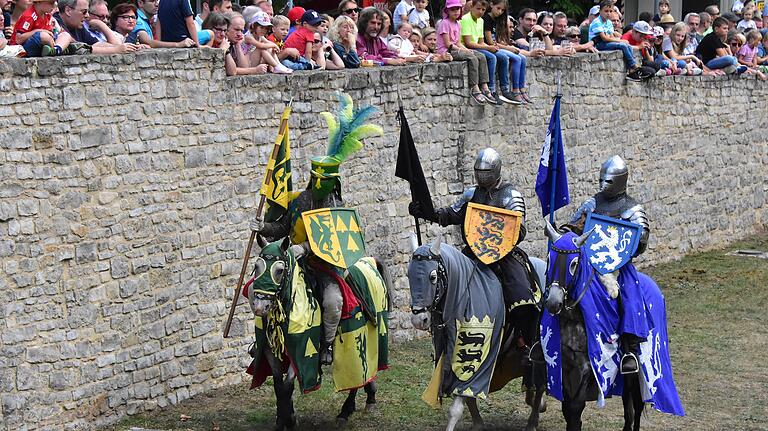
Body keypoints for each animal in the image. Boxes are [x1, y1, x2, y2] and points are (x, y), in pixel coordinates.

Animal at [244, 236, 392, 431]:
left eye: (280, 270)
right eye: (256, 267)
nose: (260, 307)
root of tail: (370, 262)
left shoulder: (302, 351)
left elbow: (287, 386)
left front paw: (289, 421)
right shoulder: (269, 351)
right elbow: (278, 387)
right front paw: (283, 420)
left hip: (359, 336)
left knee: (357, 374)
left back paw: (346, 410)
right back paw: (369, 396)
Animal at [544, 223, 688, 431]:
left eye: (573, 264)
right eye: (549, 259)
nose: (553, 303)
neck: (574, 317)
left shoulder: (586, 370)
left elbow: (575, 409)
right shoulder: (564, 369)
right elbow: (569, 411)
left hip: (640, 373)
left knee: (637, 405)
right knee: (628, 407)